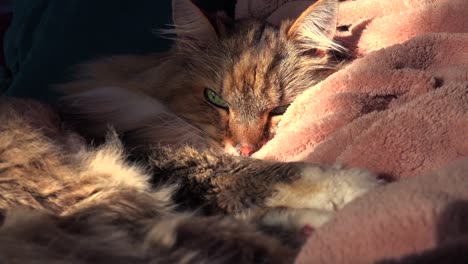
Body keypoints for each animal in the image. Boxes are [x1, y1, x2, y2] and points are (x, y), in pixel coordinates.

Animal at [0, 0, 380, 262]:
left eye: (279, 110)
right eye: (215, 99)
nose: (246, 147)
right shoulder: (167, 159)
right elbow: (277, 173)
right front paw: (363, 186)